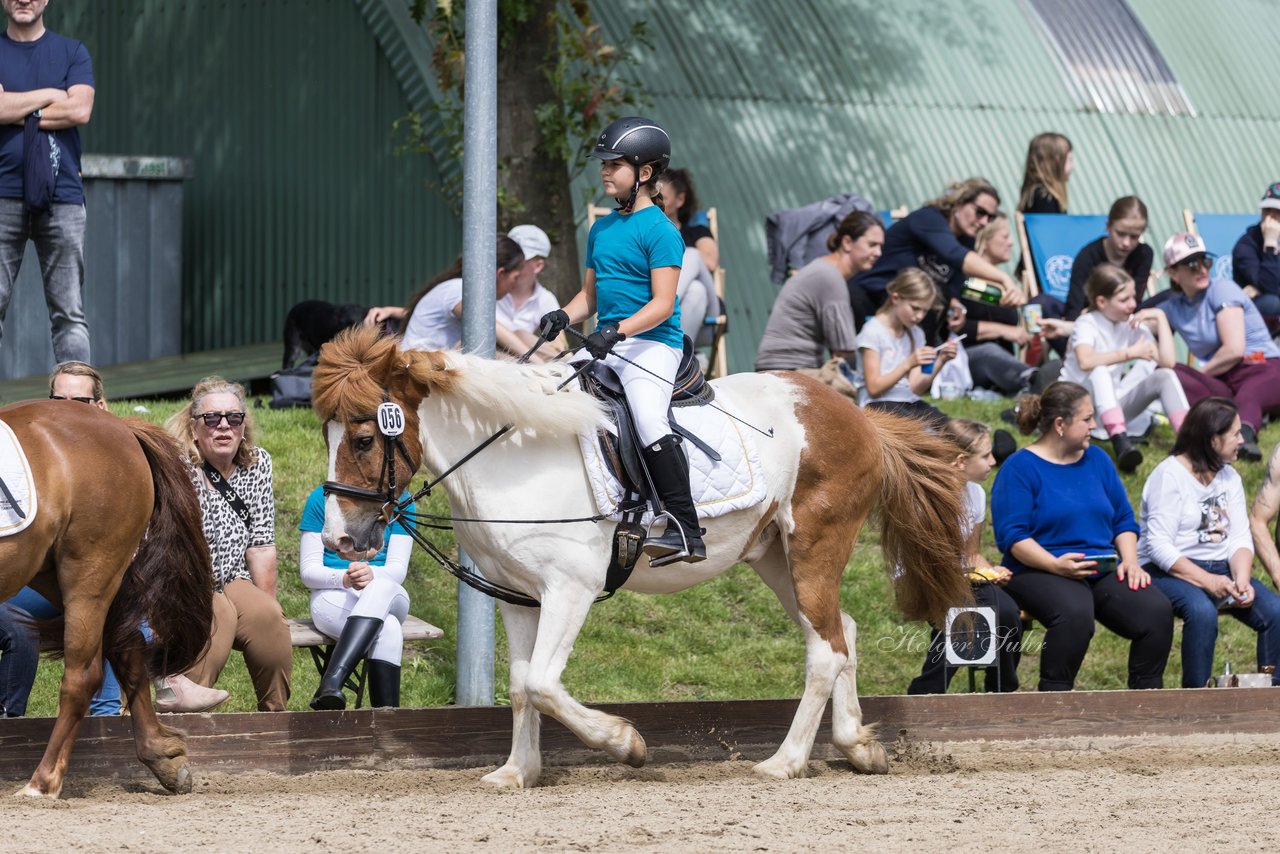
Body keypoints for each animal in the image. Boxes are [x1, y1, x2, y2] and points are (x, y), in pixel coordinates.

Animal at [0, 402, 212, 804]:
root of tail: (120, 426)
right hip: (55, 573)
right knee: (129, 647)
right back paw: (162, 758)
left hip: (89, 572)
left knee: (83, 676)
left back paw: (42, 782)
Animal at [314, 327, 962, 788]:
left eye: (365, 439)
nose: (338, 540)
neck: (511, 453)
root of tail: (859, 415)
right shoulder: (519, 598)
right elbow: (523, 685)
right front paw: (517, 773)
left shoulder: (570, 588)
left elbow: (545, 682)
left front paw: (625, 743)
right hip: (774, 557)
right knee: (838, 632)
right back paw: (858, 746)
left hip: (814, 545)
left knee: (825, 651)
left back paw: (785, 761)